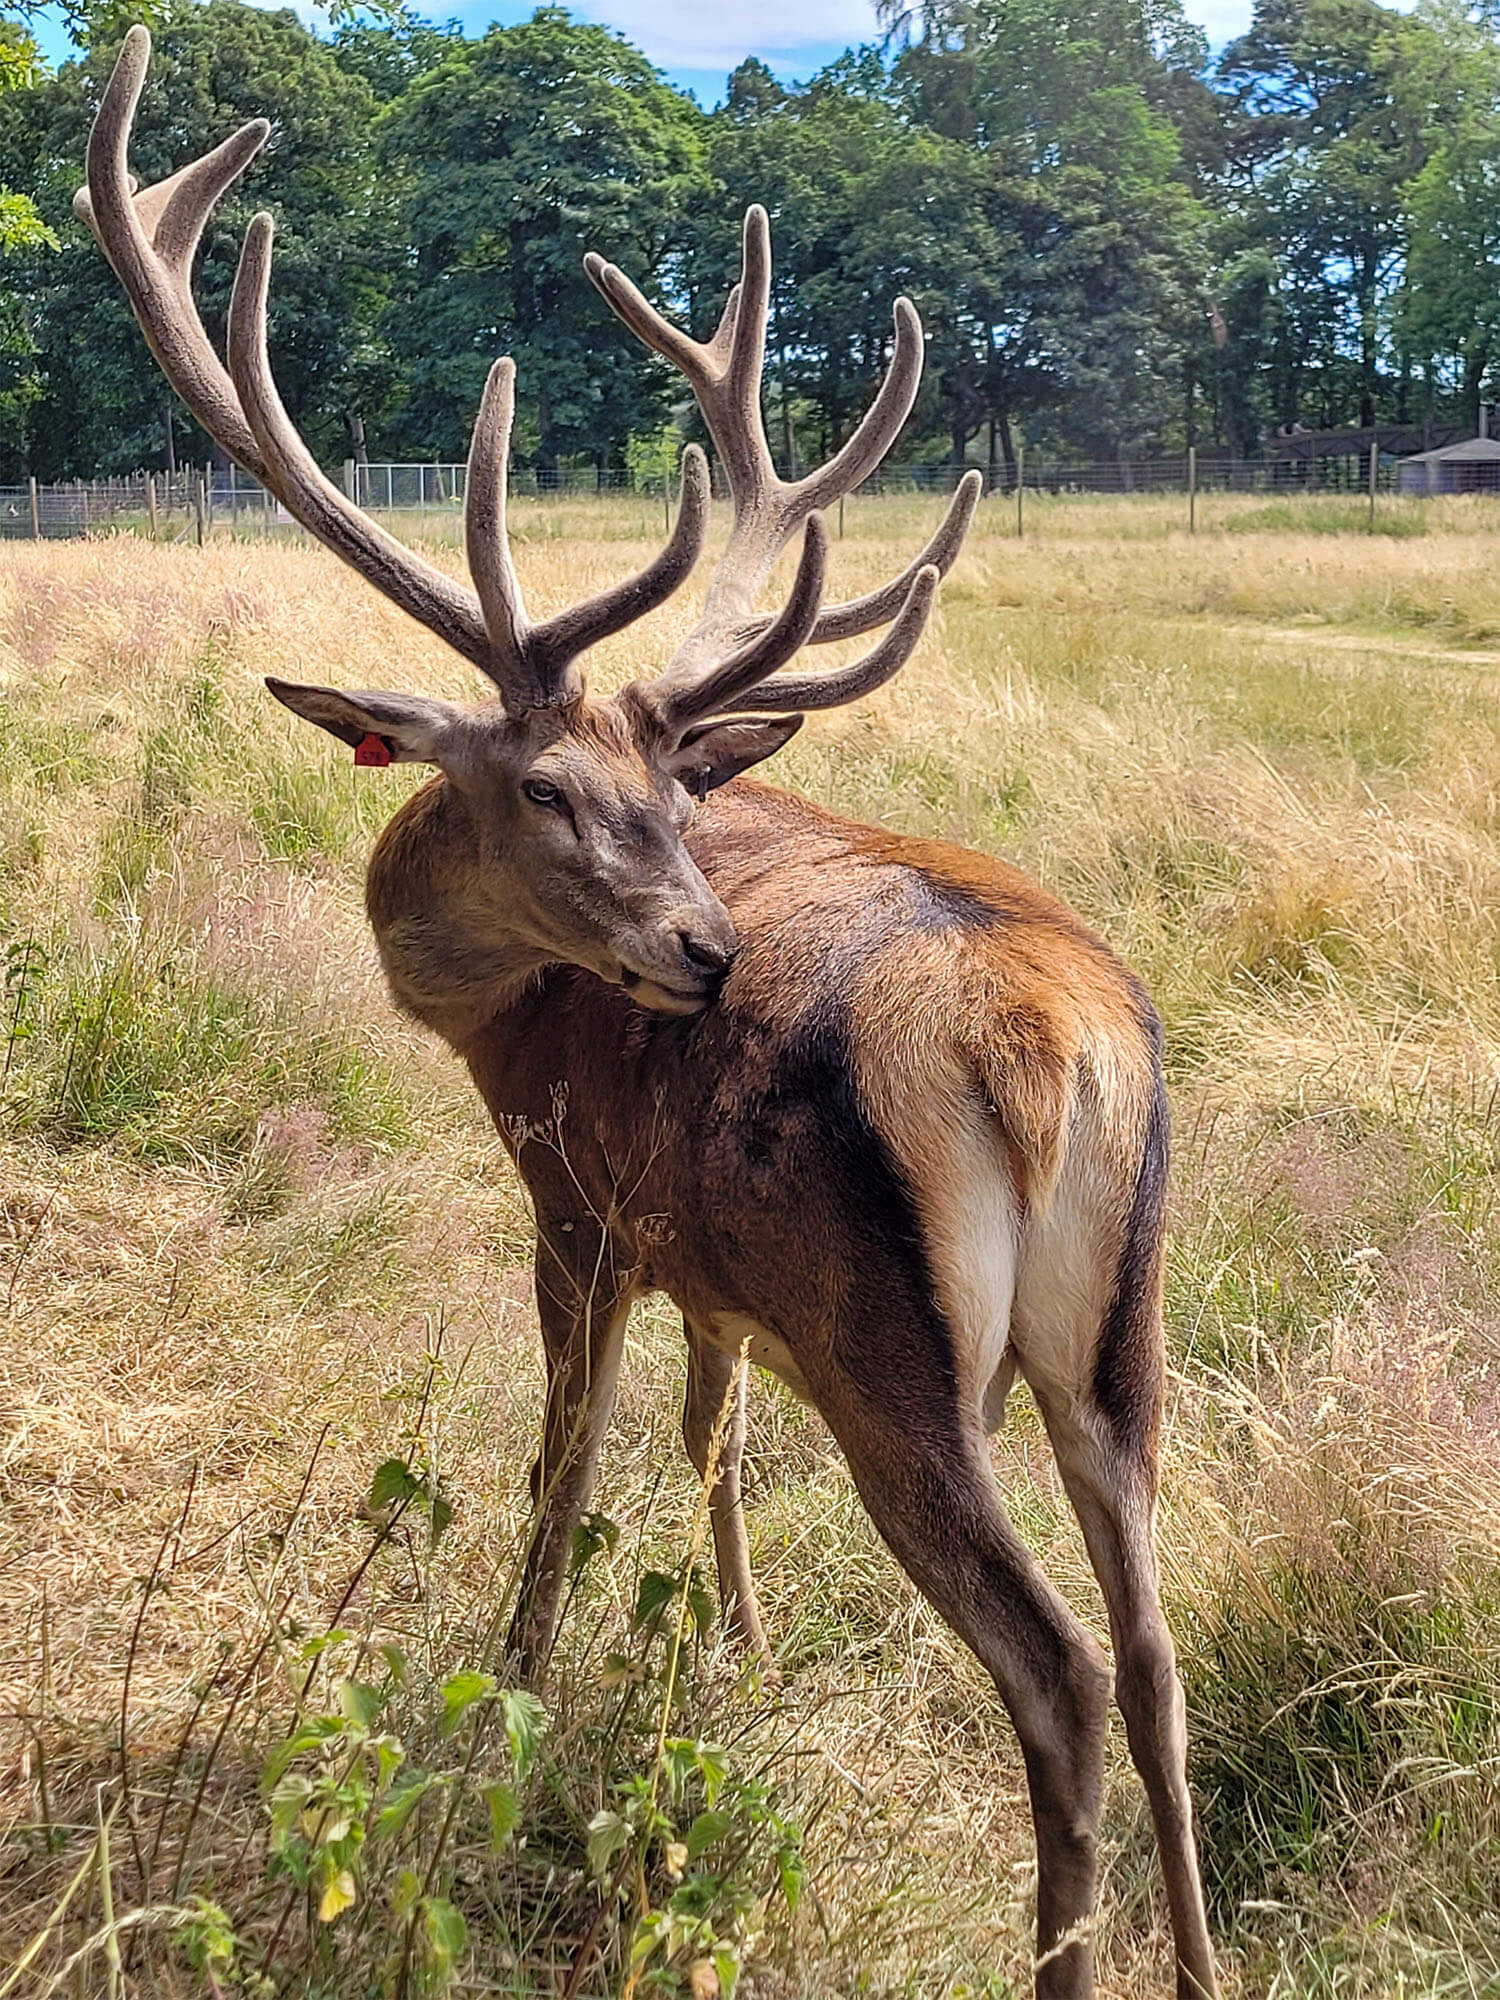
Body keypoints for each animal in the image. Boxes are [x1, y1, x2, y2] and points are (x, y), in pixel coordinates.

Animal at [77, 29, 1218, 1998]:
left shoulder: (579, 1198)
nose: (704, 952)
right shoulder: (714, 1262)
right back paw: (1212, 1959)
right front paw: (730, 1648)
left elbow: (566, 1461)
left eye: (664, 794)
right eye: (556, 789)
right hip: (1117, 1335)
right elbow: (708, 1436)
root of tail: (1050, 1054)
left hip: (893, 1351)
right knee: (1156, 1651)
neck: (481, 1018)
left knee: (1062, 1672)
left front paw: (514, 1688)